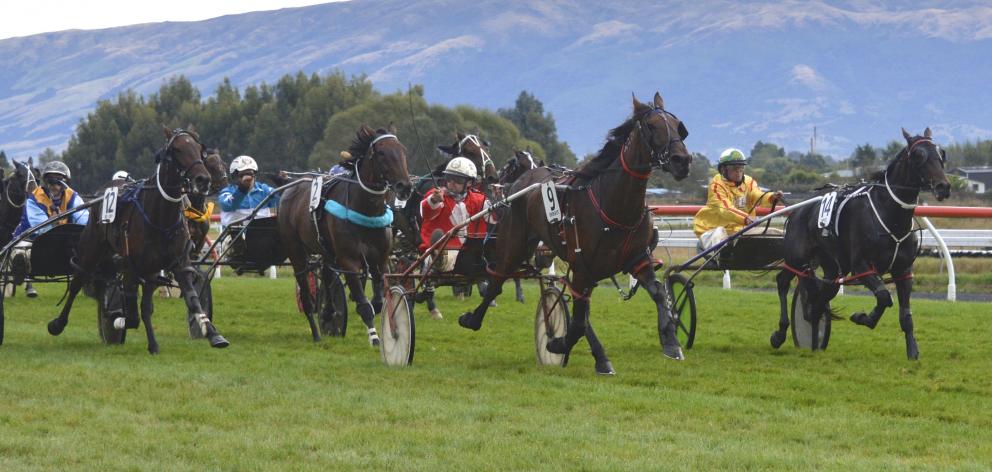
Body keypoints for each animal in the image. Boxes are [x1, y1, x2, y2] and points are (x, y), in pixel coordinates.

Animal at [46, 125, 229, 354]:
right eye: (177, 150)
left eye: (199, 150)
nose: (203, 179)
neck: (161, 217)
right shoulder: (132, 267)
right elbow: (131, 314)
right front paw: (116, 320)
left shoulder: (176, 263)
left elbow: (188, 298)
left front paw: (212, 333)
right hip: (91, 248)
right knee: (79, 280)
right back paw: (59, 323)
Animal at [278, 125, 412, 344]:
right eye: (381, 153)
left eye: (403, 150)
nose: (405, 186)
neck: (367, 209)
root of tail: (290, 188)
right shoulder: (349, 260)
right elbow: (364, 304)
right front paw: (374, 337)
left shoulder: (380, 259)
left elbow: (378, 299)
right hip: (295, 250)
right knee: (305, 291)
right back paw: (316, 333)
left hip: (327, 250)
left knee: (326, 273)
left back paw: (328, 312)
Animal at [458, 91, 688, 372]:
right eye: (652, 125)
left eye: (678, 126)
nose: (682, 160)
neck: (615, 205)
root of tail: (522, 182)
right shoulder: (582, 266)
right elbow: (578, 321)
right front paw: (558, 343)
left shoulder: (638, 259)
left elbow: (658, 294)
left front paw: (671, 342)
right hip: (515, 242)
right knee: (498, 277)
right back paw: (473, 318)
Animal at [772, 127, 948, 360]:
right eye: (918, 155)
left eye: (942, 153)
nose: (943, 187)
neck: (890, 215)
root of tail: (796, 208)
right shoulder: (862, 267)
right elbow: (884, 297)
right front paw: (863, 317)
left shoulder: (903, 270)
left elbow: (905, 315)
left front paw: (912, 351)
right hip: (796, 256)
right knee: (782, 281)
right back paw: (780, 333)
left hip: (831, 265)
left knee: (822, 294)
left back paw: (813, 324)